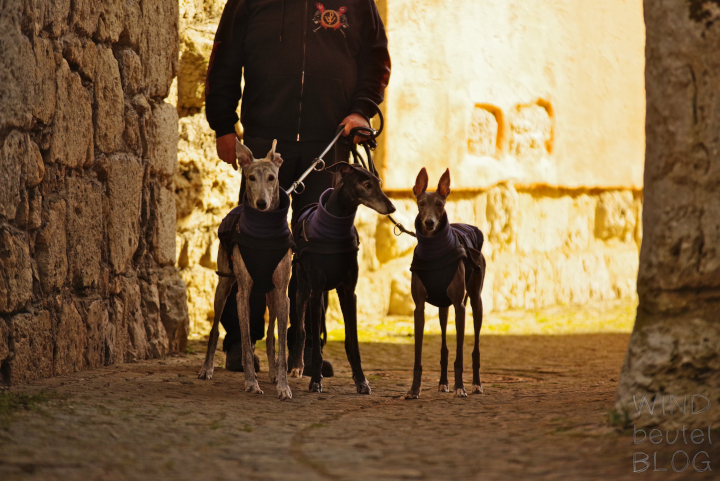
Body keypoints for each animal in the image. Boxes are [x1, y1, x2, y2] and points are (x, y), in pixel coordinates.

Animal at [198, 139, 295, 401]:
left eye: (272, 178)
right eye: (250, 177)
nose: (261, 204)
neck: (264, 232)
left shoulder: (282, 293)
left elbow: (280, 344)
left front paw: (283, 386)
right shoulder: (242, 293)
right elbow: (244, 338)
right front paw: (251, 382)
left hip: (272, 297)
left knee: (270, 336)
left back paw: (273, 375)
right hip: (223, 286)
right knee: (214, 331)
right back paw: (206, 369)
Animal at [290, 162, 396, 394]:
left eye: (379, 183)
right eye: (366, 184)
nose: (392, 208)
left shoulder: (349, 292)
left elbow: (352, 342)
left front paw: (361, 380)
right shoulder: (316, 291)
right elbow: (316, 346)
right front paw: (315, 380)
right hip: (303, 289)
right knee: (302, 330)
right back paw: (297, 367)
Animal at [405, 167, 486, 399]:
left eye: (440, 204)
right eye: (421, 203)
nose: (429, 223)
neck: (434, 252)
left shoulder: (459, 306)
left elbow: (460, 355)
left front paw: (460, 387)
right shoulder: (419, 308)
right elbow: (418, 356)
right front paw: (414, 390)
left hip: (476, 302)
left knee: (475, 349)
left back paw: (476, 384)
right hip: (443, 307)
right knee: (444, 347)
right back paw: (442, 382)